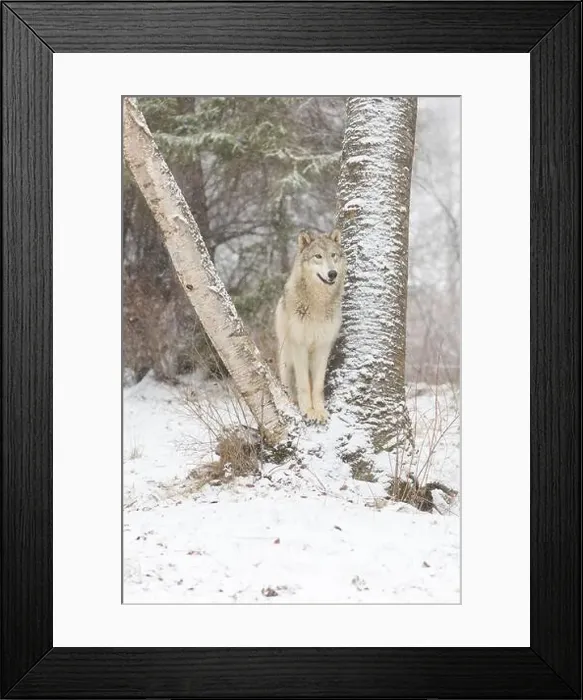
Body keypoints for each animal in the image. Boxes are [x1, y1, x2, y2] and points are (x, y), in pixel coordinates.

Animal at [275, 229, 346, 423]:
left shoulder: (323, 347)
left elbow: (317, 385)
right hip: (286, 363)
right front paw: (307, 410)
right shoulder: (300, 345)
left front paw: (319, 411)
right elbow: (304, 385)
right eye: (318, 256)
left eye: (333, 255)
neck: (318, 305)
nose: (332, 273)